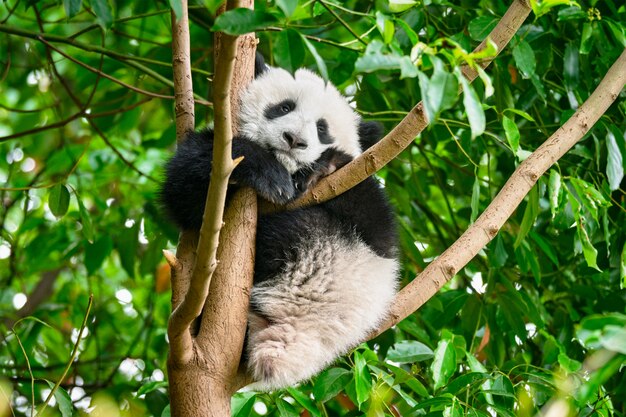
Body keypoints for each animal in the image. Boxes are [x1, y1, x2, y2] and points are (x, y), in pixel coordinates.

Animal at [158, 57, 398, 388]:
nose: (294, 140)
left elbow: (377, 229)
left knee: (298, 229)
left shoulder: (367, 194)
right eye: (284, 107)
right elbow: (185, 192)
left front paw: (324, 168)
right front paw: (268, 173)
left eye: (322, 129)